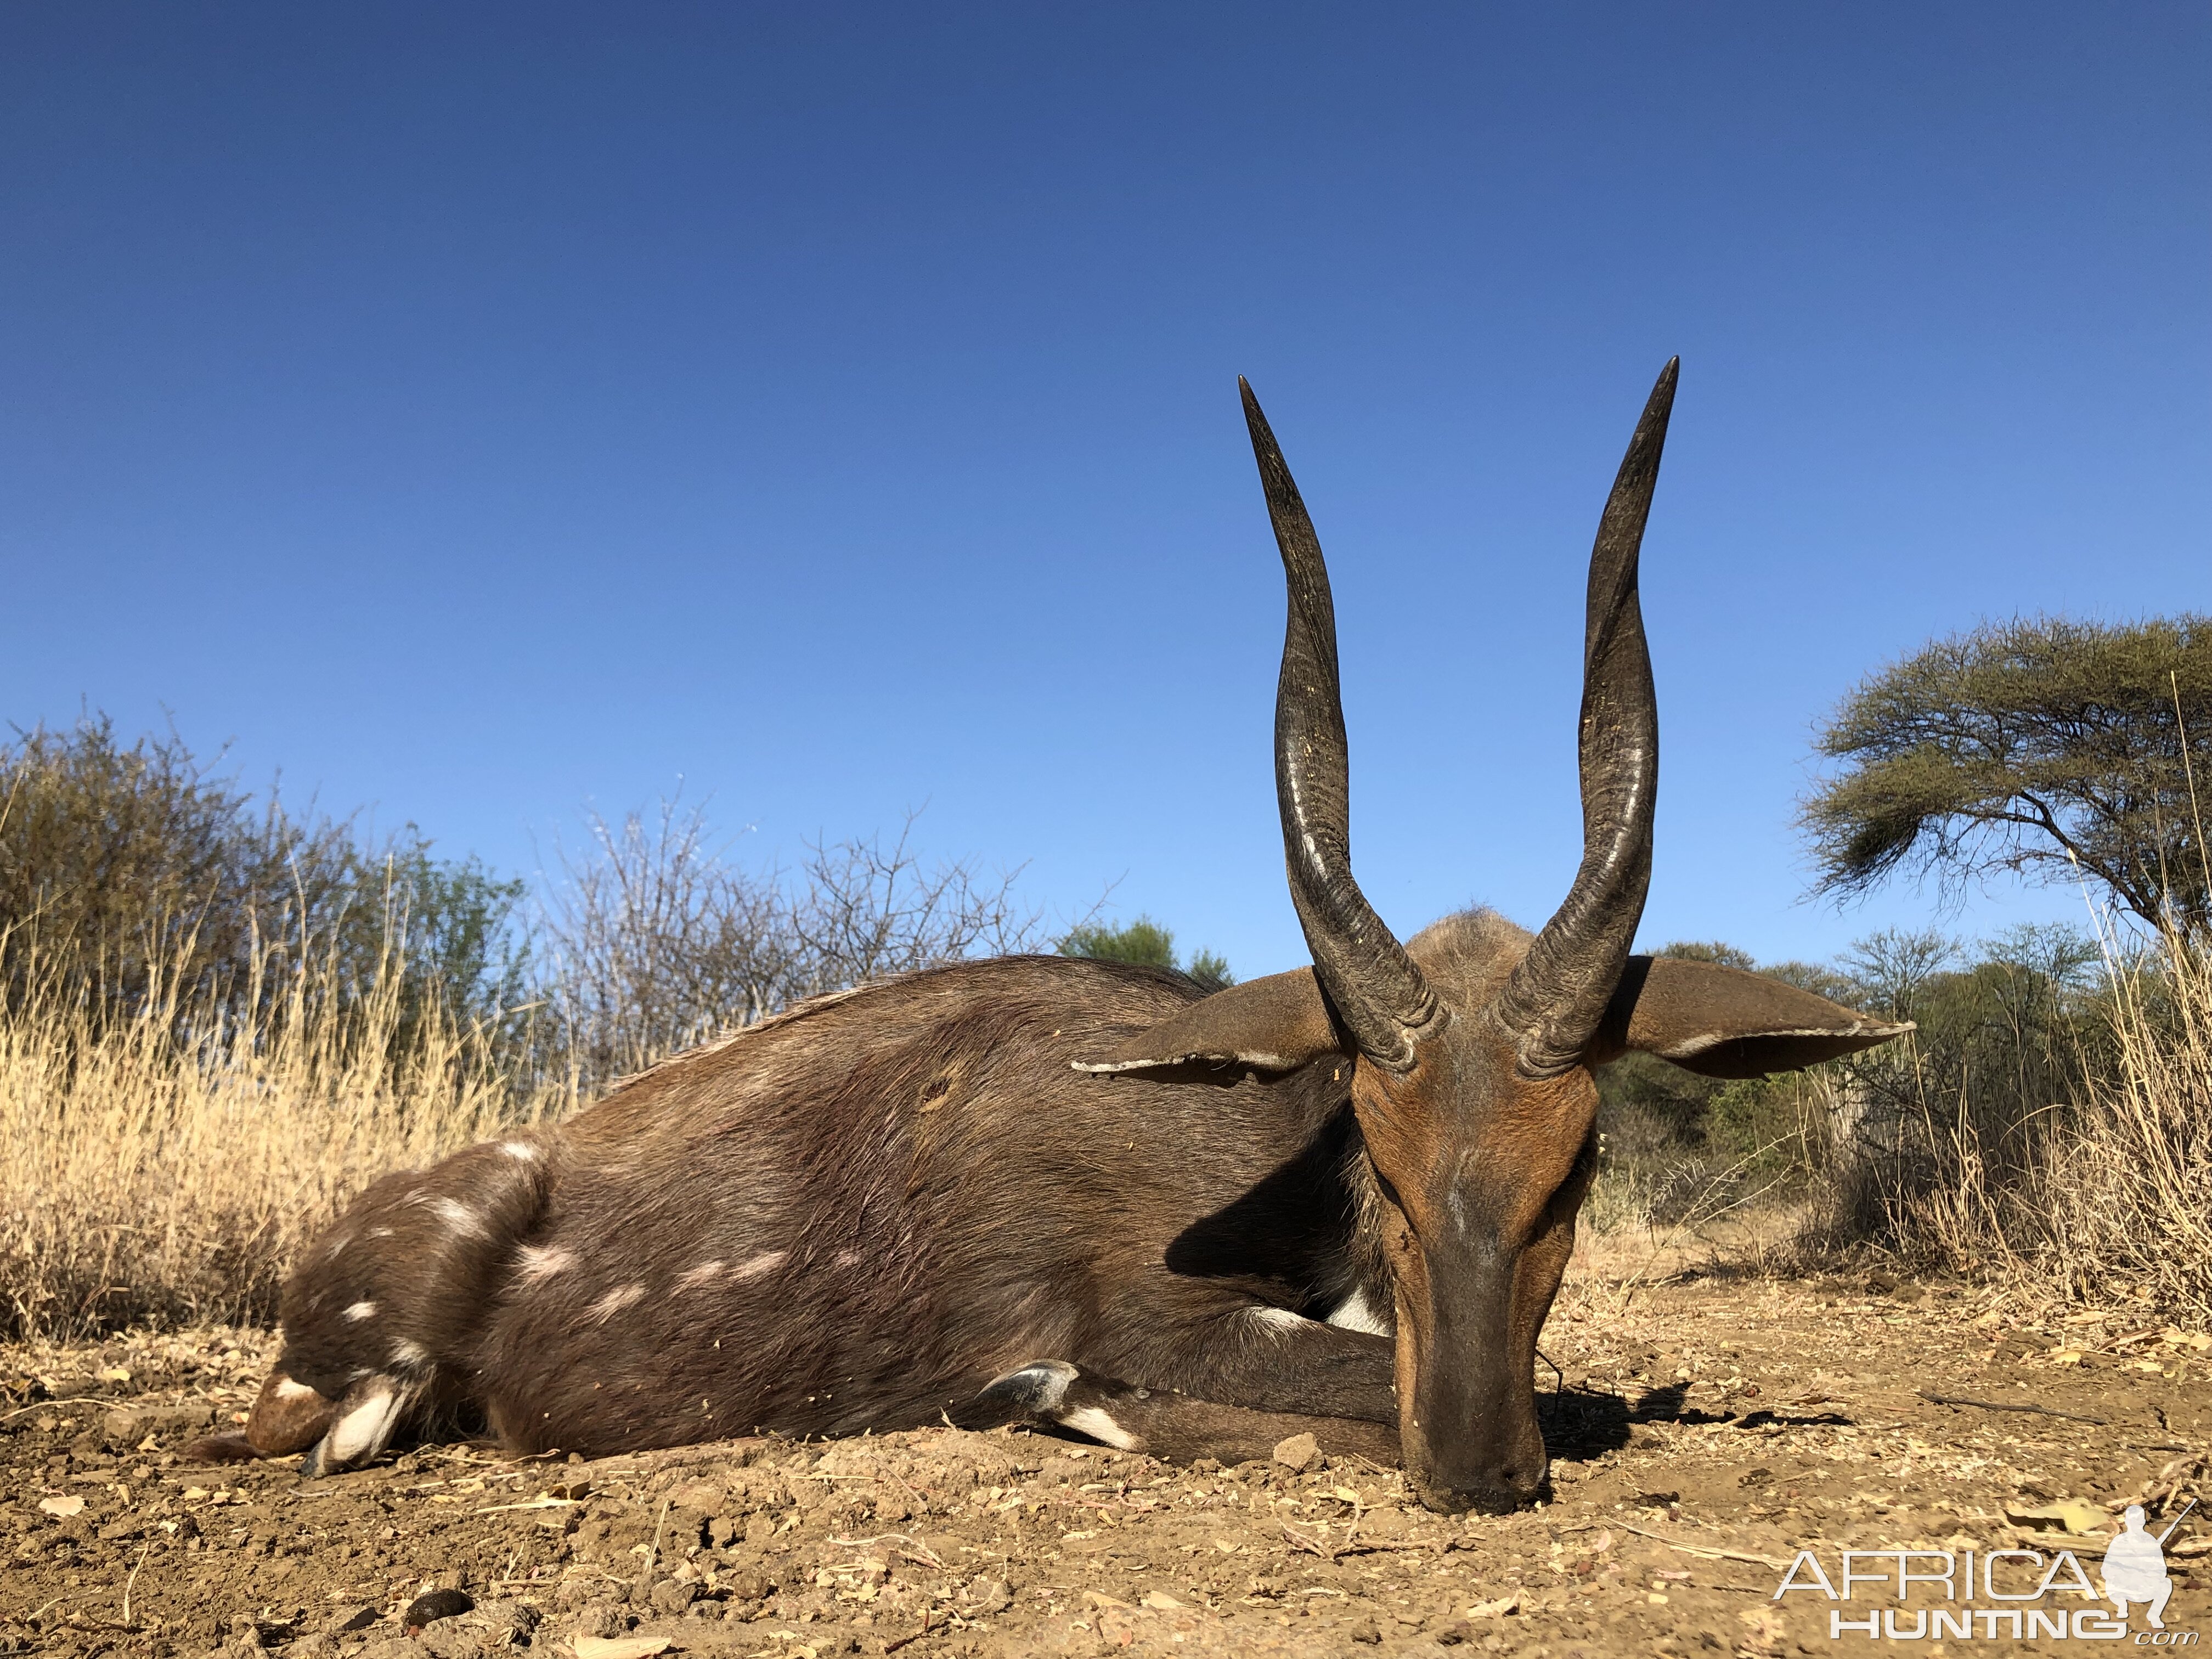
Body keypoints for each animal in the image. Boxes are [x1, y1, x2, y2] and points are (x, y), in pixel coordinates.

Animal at [199, 363, 1911, 1522]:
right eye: (1382, 1148)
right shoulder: (1152, 1312)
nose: (1482, 1469)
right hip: (357, 1383)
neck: (1277, 1170)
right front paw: (1048, 1398)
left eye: (1582, 1162)